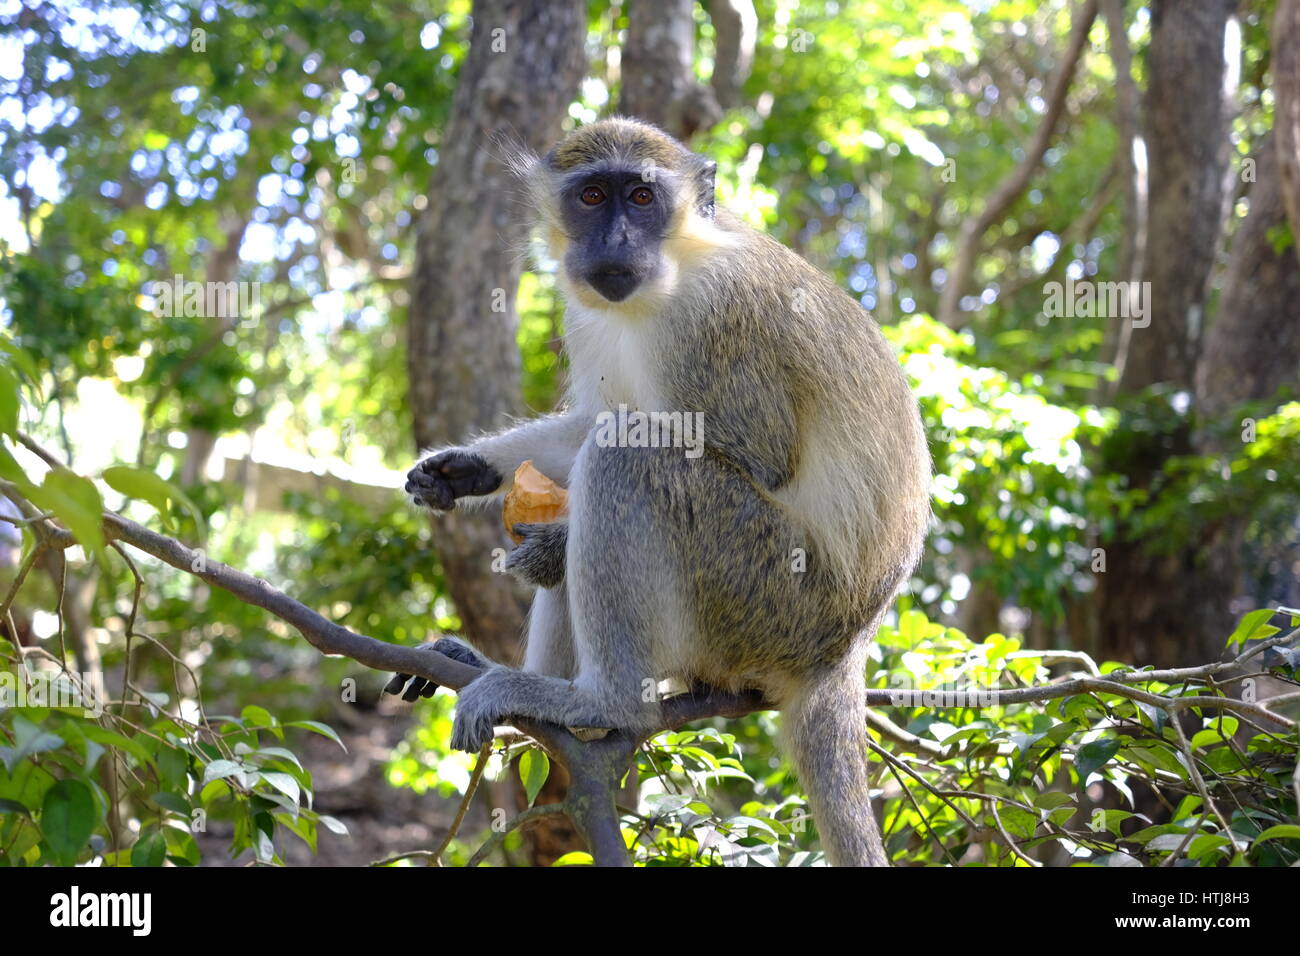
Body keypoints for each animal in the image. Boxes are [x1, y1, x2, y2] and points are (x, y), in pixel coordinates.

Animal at [390, 117, 930, 868]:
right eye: (592, 196)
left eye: (643, 197)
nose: (616, 240)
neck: (670, 274)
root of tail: (843, 649)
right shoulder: (587, 311)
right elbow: (594, 418)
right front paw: (465, 470)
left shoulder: (716, 320)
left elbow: (754, 457)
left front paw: (547, 543)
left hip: (767, 594)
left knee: (626, 460)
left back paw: (602, 704)